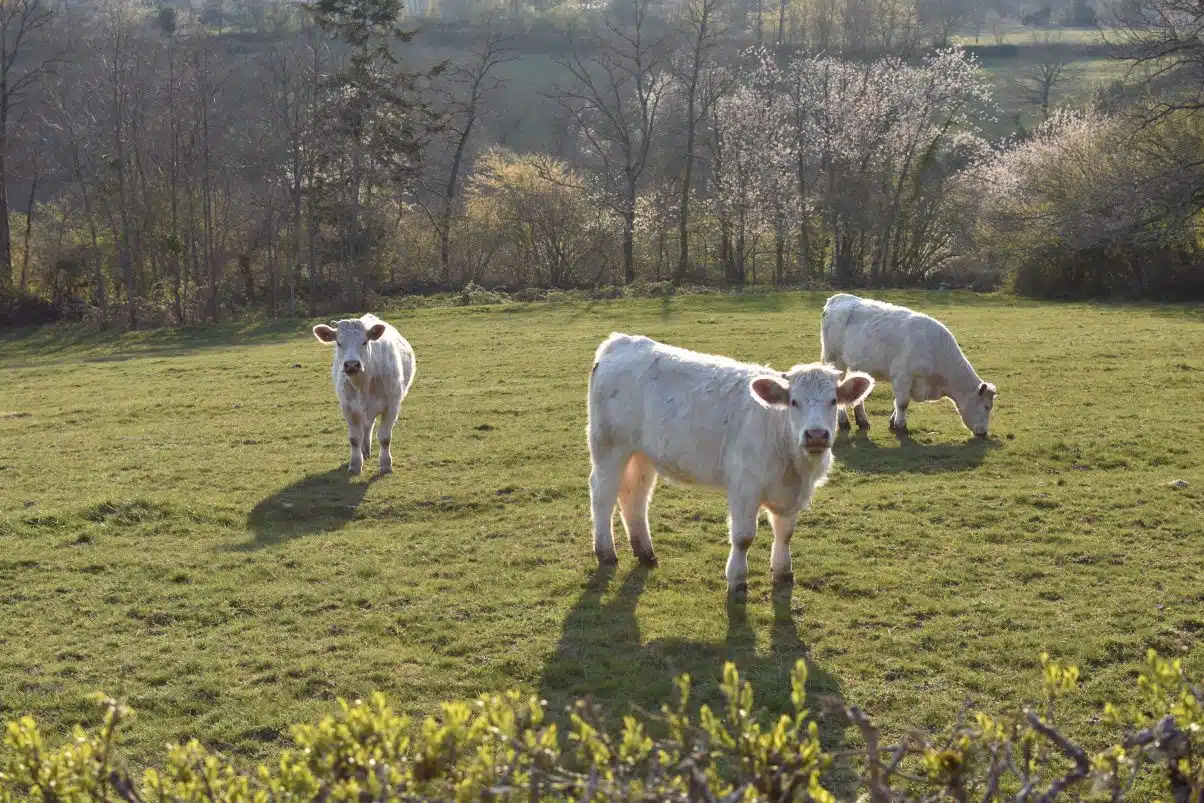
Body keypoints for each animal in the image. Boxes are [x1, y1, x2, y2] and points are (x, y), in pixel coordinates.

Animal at [313, 313, 416, 476]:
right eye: (339, 343)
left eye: (364, 342)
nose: (352, 365)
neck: (363, 384)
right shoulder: (348, 408)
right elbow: (354, 438)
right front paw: (355, 465)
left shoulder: (391, 406)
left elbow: (385, 438)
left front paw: (386, 464)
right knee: (366, 427)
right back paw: (365, 450)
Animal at [585, 332, 876, 597]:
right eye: (794, 402)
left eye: (833, 401)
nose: (816, 435)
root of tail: (622, 341)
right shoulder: (744, 487)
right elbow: (743, 537)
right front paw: (737, 579)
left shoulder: (792, 495)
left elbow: (785, 533)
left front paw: (783, 572)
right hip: (609, 447)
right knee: (602, 496)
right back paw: (606, 553)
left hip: (642, 454)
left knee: (634, 496)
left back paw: (645, 553)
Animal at [818, 292, 996, 435]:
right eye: (987, 406)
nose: (984, 433)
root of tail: (837, 298)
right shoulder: (903, 375)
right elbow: (903, 403)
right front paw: (900, 426)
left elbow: (901, 402)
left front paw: (892, 422)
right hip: (835, 360)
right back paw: (843, 422)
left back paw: (862, 421)